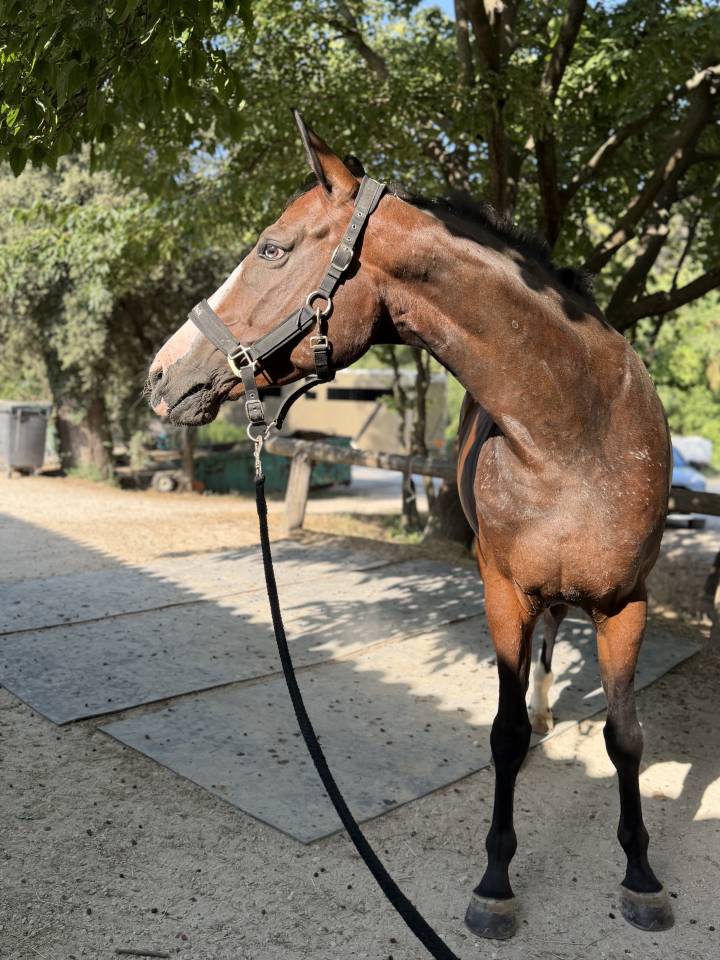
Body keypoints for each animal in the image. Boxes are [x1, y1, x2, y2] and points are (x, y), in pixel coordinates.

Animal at [148, 113, 674, 940]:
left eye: (271, 248)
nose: (161, 374)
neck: (578, 435)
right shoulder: (504, 594)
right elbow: (503, 734)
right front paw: (496, 883)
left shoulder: (629, 602)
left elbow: (626, 738)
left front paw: (643, 877)